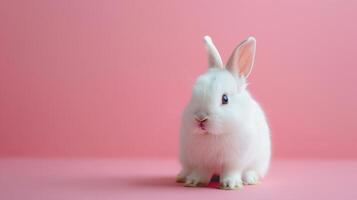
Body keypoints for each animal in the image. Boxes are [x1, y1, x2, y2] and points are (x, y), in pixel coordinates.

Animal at [177, 35, 272, 190]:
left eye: (225, 99)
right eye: (193, 95)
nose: (201, 118)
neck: (214, 135)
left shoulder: (234, 160)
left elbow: (230, 171)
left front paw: (230, 185)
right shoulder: (201, 161)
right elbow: (201, 172)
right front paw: (194, 181)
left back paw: (250, 179)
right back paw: (182, 176)